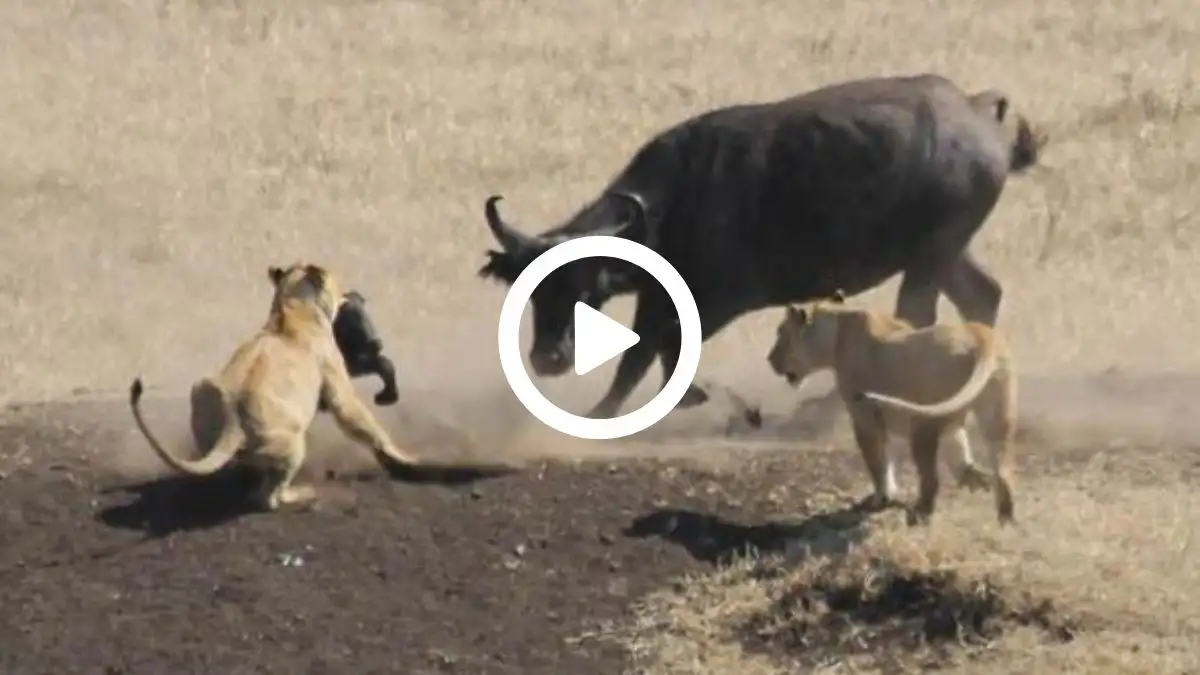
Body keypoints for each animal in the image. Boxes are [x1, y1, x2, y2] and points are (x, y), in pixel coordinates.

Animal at [475, 73, 1041, 420]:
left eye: (588, 288)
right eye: (533, 291)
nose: (549, 358)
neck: (672, 207)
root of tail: (979, 112)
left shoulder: (718, 299)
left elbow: (650, 350)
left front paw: (607, 414)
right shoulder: (659, 294)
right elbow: (654, 350)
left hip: (930, 255)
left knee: (914, 317)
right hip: (946, 250)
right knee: (982, 295)